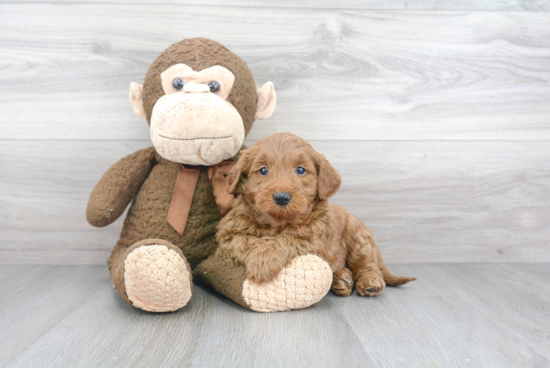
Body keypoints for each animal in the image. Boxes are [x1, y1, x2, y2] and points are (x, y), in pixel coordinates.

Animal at [218, 132, 416, 296]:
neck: (278, 222)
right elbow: (246, 239)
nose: (281, 197)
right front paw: (260, 256)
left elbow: (286, 239)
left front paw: (263, 261)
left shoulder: (315, 240)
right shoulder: (228, 234)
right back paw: (342, 280)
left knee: (366, 265)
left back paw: (370, 282)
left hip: (358, 238)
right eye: (263, 170)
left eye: (300, 170)